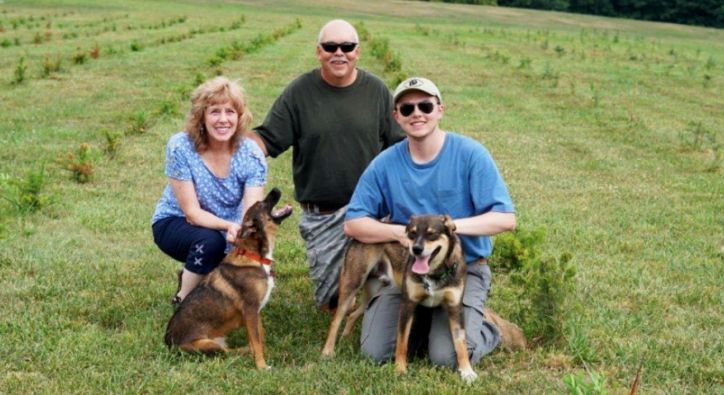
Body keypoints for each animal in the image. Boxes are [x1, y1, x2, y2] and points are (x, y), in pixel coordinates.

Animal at [164, 187, 292, 370]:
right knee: (228, 352)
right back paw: (247, 352)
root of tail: (168, 344)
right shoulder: (250, 310)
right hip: (207, 345)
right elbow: (256, 342)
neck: (255, 256)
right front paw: (261, 366)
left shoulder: (255, 312)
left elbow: (260, 338)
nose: (276, 189)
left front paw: (266, 356)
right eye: (261, 204)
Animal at [324, 217, 528, 384]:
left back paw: (346, 338)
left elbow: (460, 344)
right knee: (336, 319)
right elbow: (402, 341)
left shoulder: (455, 308)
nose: (416, 249)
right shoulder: (407, 305)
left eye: (432, 234)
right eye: (411, 234)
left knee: (352, 314)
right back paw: (328, 351)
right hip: (352, 283)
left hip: (373, 291)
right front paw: (400, 369)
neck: (434, 273)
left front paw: (466, 371)